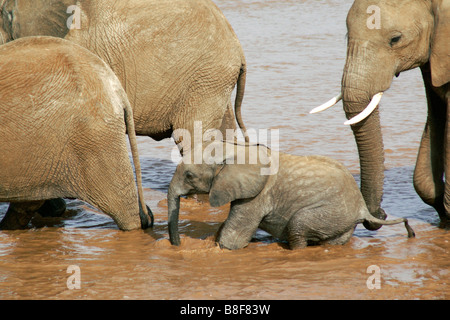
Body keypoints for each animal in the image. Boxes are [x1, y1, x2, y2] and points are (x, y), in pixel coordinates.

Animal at [166, 141, 414, 249]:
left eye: (189, 175)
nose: (177, 245)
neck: (235, 149)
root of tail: (362, 207)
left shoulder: (257, 195)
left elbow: (233, 239)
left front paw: (219, 247)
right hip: (343, 221)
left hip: (332, 211)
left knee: (298, 225)